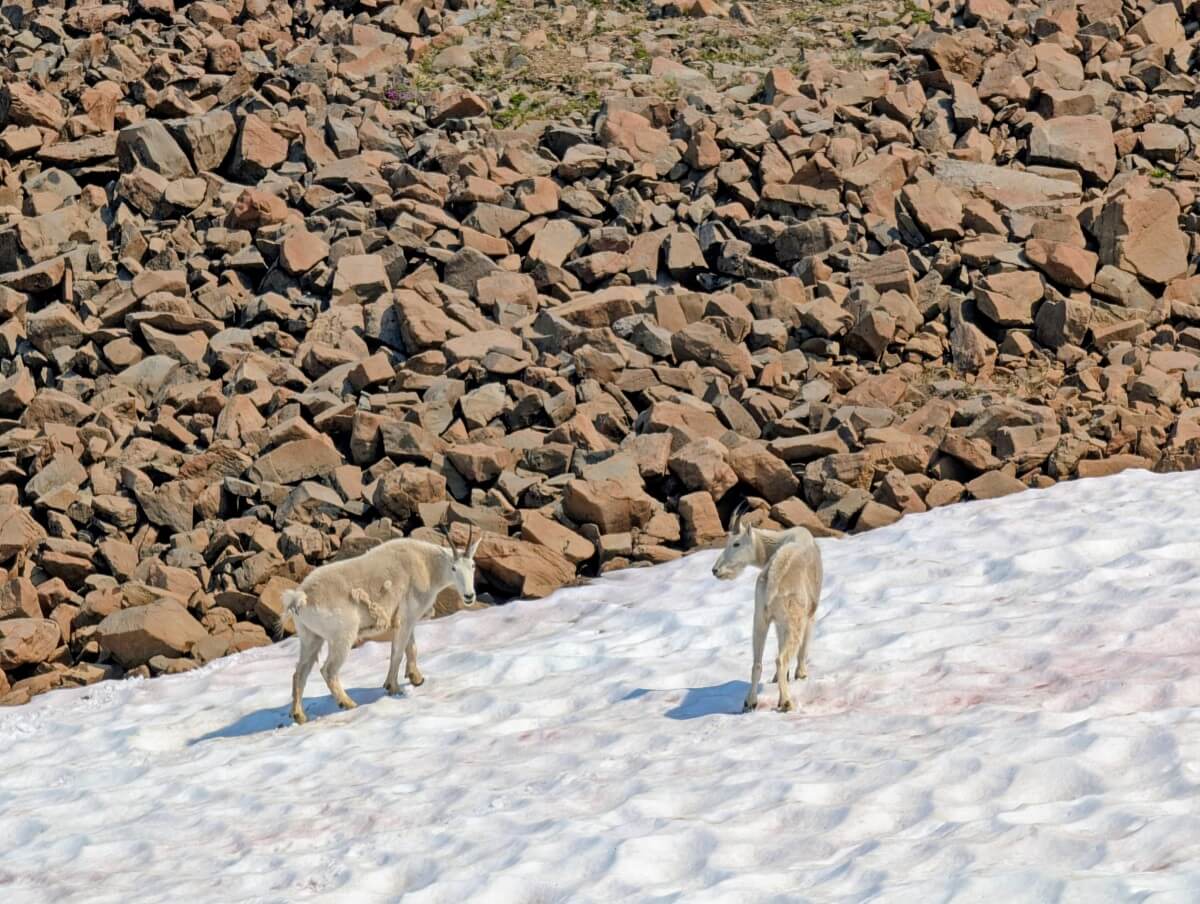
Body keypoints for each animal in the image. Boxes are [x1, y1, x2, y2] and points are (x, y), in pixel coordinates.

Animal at [281, 526, 481, 724]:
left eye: (472, 565)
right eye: (454, 568)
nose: (469, 596)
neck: (427, 566)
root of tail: (301, 598)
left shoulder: (407, 620)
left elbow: (411, 648)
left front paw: (416, 678)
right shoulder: (406, 618)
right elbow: (397, 653)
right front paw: (394, 687)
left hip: (310, 637)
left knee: (300, 672)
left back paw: (299, 715)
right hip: (342, 635)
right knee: (328, 670)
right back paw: (348, 703)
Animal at [712, 502, 823, 713]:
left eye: (736, 543)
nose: (716, 570)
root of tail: (772, 581)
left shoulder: (777, 622)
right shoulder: (809, 614)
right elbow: (803, 648)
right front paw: (801, 675)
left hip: (760, 618)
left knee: (757, 663)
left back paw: (750, 703)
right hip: (793, 620)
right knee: (781, 658)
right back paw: (786, 702)